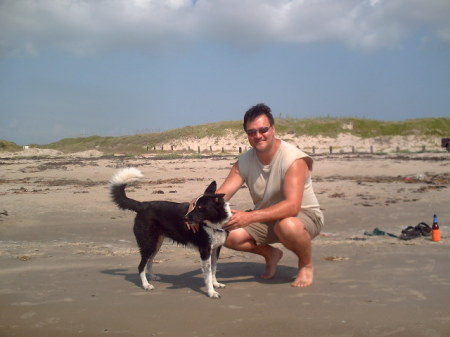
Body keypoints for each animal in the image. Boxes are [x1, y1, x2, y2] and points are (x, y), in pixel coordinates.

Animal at [109, 167, 232, 298]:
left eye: (200, 207)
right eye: (194, 205)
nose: (184, 218)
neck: (213, 224)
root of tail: (142, 205)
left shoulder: (216, 249)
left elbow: (213, 269)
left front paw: (215, 284)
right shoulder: (205, 251)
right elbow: (208, 274)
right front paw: (211, 292)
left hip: (156, 244)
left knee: (149, 261)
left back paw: (152, 277)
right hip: (148, 244)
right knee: (141, 265)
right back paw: (146, 285)